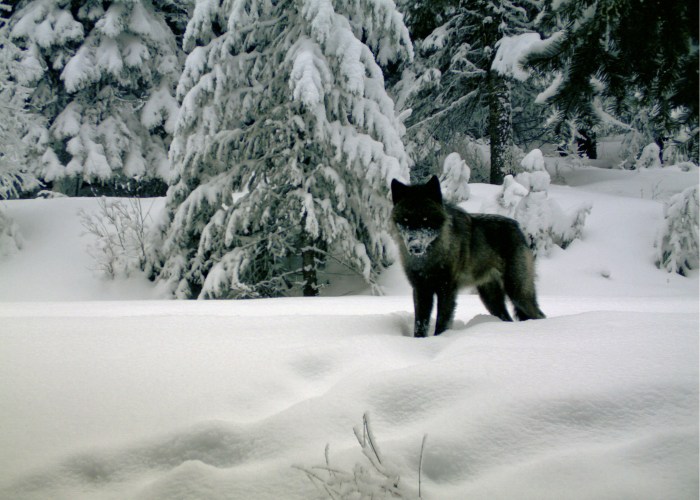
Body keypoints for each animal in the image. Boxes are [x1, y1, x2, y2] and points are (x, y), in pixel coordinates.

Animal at [391, 175, 545, 337]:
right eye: (405, 220)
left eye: (425, 219)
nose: (414, 246)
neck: (428, 259)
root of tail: (518, 228)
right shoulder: (421, 290)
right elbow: (420, 325)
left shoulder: (447, 290)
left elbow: (442, 323)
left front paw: (440, 339)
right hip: (491, 299)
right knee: (507, 318)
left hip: (518, 292)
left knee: (539, 315)